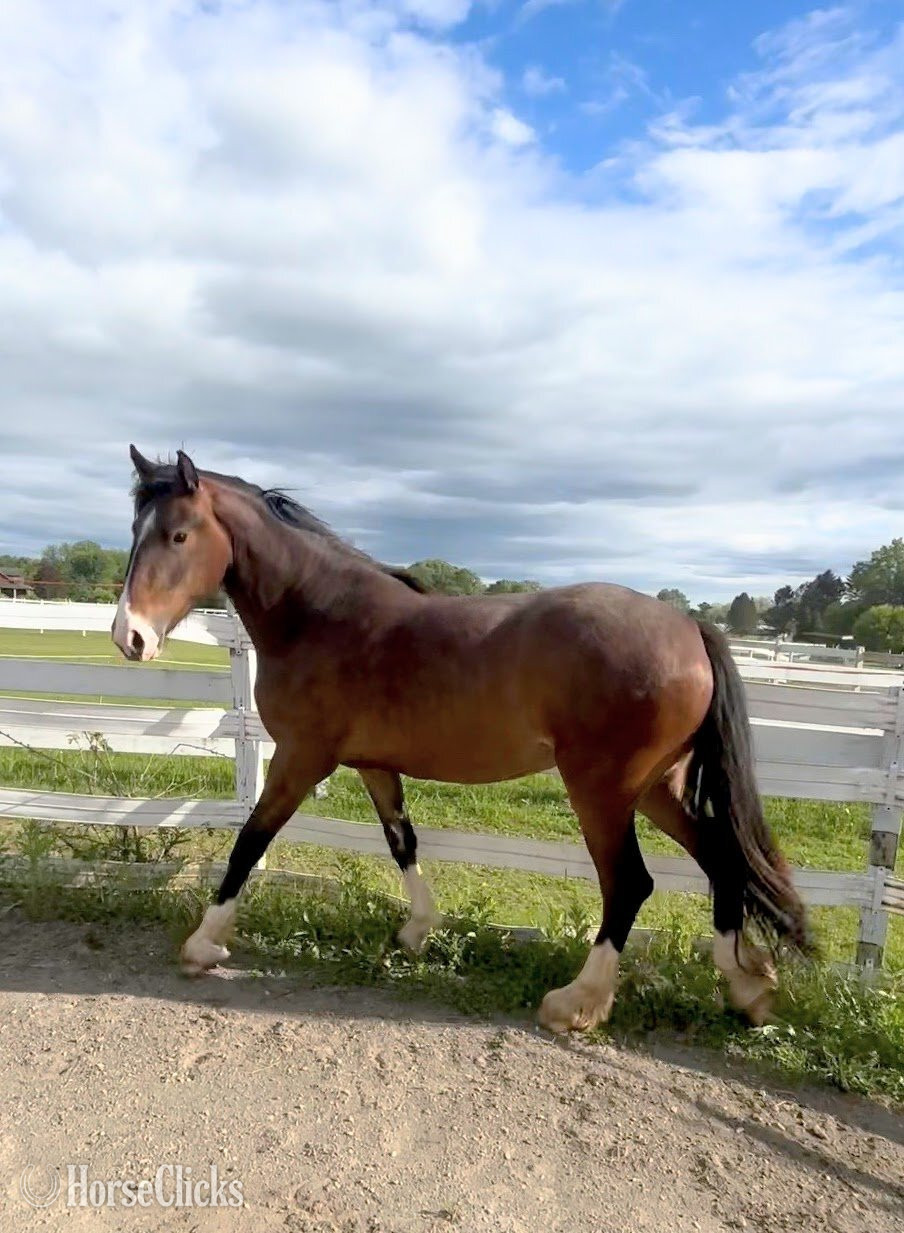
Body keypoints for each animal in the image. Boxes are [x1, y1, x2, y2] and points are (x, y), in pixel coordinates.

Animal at [112, 446, 809, 1031]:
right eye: (135, 532)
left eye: (179, 534)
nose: (130, 638)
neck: (319, 614)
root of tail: (690, 626)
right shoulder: (372, 764)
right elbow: (401, 841)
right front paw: (418, 931)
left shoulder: (302, 758)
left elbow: (249, 842)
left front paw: (204, 942)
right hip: (656, 786)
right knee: (721, 858)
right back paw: (747, 988)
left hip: (604, 791)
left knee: (630, 883)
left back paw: (578, 1003)